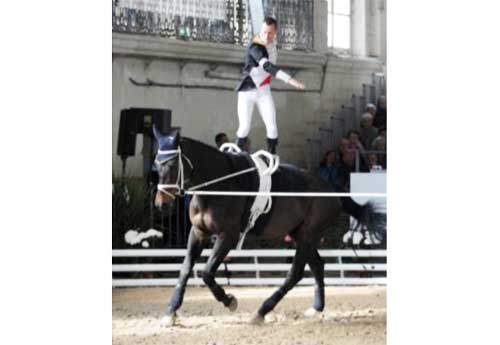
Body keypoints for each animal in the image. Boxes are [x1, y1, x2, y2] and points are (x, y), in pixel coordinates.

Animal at [153, 127, 386, 326]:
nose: (161, 205)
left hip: (307, 236)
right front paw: (170, 312)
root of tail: (332, 190)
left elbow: (207, 272)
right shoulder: (198, 233)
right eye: (156, 164)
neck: (217, 185)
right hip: (300, 235)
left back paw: (261, 311)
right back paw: (316, 308)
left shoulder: (228, 235)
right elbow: (185, 270)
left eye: (172, 165)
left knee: (295, 274)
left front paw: (230, 301)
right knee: (317, 266)